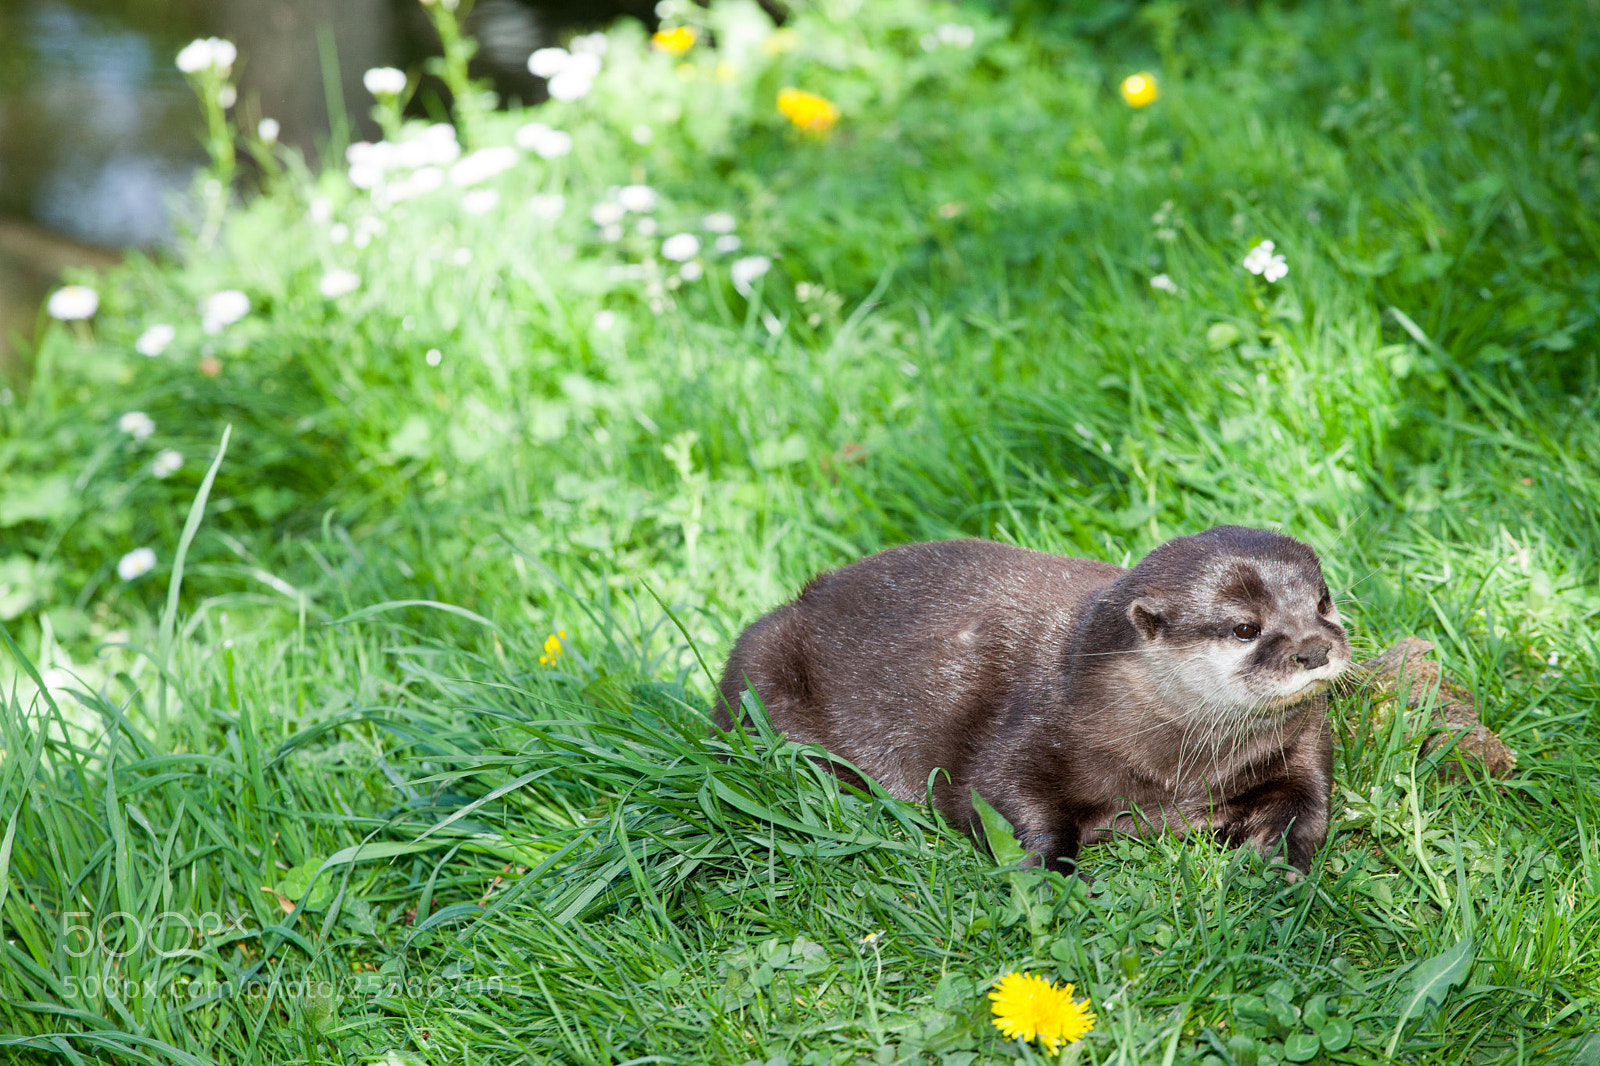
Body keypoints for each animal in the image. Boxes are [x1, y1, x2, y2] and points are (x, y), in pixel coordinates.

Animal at [713, 526, 1351, 874]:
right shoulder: (1033, 726)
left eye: (1323, 602)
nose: (1315, 648)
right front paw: (1052, 874)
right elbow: (997, 795)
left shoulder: (1304, 742)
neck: (1177, 768)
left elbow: (1309, 805)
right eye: (1247, 628)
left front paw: (1278, 860)